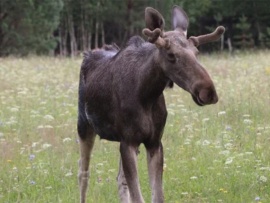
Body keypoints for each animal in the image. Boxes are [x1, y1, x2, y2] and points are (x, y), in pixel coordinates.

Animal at [77, 4, 225, 203]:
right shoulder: (128, 141)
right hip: (84, 126)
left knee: (120, 180)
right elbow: (138, 195)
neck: (146, 95)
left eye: (197, 53)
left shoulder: (154, 142)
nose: (208, 92)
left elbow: (156, 195)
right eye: (171, 55)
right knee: (83, 174)